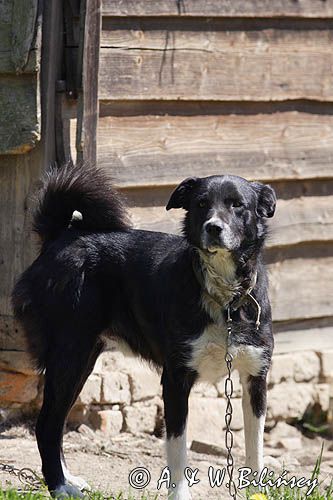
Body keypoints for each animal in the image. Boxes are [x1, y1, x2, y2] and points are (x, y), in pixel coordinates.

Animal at [12, 166, 274, 498]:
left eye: (237, 205)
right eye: (201, 203)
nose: (214, 228)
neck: (225, 297)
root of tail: (59, 237)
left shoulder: (256, 377)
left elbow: (256, 447)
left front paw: (257, 491)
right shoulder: (176, 379)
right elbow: (178, 447)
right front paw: (180, 494)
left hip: (81, 360)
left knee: (56, 423)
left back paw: (68, 479)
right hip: (68, 355)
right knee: (47, 423)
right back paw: (59, 486)